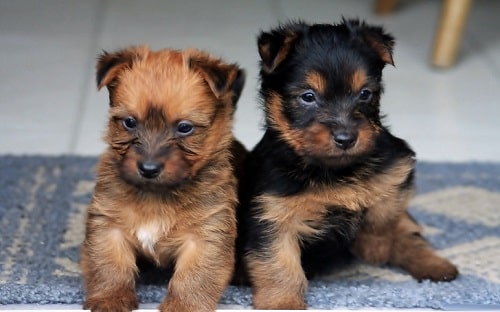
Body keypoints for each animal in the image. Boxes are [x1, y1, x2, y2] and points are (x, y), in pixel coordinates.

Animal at [81, 46, 245, 312]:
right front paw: (110, 298)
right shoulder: (109, 227)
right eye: (129, 122)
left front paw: (183, 306)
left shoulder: (206, 235)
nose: (148, 169)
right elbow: (109, 266)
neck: (156, 195)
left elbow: (193, 278)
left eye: (185, 127)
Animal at [236, 20, 458, 310]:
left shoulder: (397, 165)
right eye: (308, 96)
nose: (346, 138)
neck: (332, 168)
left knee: (409, 234)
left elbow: (384, 209)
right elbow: (279, 265)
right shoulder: (273, 215)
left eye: (365, 94)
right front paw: (283, 303)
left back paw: (436, 267)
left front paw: (373, 247)